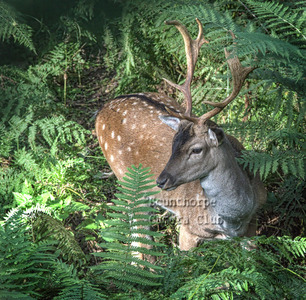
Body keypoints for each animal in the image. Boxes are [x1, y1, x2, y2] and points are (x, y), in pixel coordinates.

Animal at [95, 17, 266, 250]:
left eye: (196, 149)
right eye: (173, 143)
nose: (161, 180)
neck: (234, 218)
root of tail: (101, 110)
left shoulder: (252, 227)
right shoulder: (188, 227)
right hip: (126, 180)